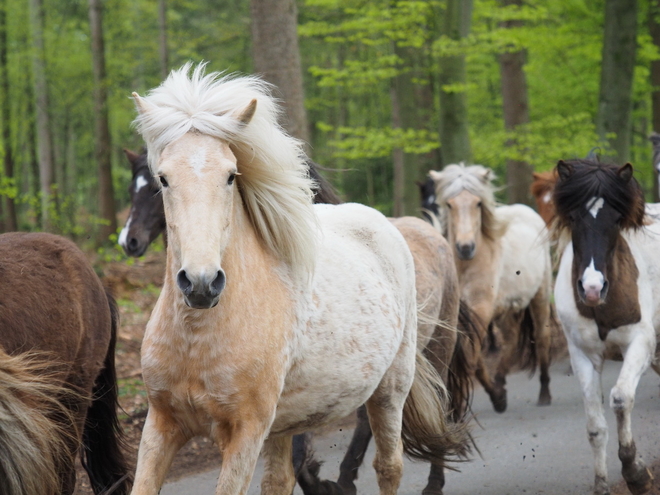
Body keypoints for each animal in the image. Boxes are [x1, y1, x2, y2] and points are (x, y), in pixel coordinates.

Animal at [130, 65, 470, 495]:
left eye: (230, 176)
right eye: (163, 178)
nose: (201, 283)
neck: (197, 337)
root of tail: (386, 224)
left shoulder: (245, 432)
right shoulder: (162, 425)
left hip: (391, 390)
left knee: (389, 466)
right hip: (285, 423)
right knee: (280, 479)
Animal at [426, 165, 556, 412]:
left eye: (478, 203)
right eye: (449, 204)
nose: (465, 247)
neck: (467, 267)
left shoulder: (481, 309)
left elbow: (472, 356)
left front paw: (483, 399)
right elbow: (474, 358)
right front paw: (496, 395)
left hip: (540, 296)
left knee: (542, 336)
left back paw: (545, 393)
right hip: (508, 308)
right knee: (510, 339)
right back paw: (501, 379)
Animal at [552, 159, 660, 495]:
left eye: (616, 219)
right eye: (574, 217)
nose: (591, 288)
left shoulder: (641, 343)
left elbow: (621, 398)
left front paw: (636, 473)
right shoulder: (582, 355)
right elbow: (595, 427)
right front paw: (601, 484)